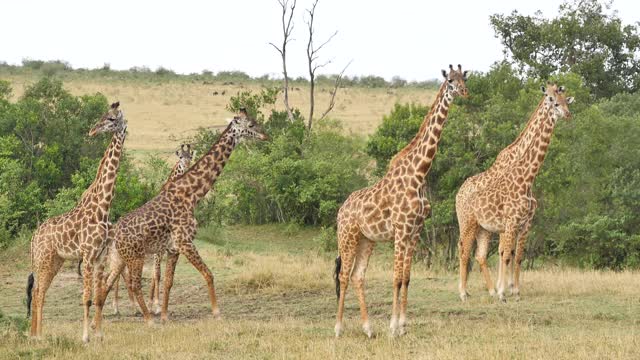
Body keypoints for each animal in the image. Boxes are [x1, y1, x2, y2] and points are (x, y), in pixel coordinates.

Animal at [26, 102, 127, 344]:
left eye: (111, 118)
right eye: (103, 115)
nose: (92, 130)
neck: (103, 207)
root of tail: (34, 236)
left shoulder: (100, 257)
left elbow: (98, 298)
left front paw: (100, 335)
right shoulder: (88, 255)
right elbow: (86, 298)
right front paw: (85, 338)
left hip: (56, 260)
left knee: (40, 292)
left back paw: (37, 335)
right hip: (43, 259)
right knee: (37, 293)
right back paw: (37, 336)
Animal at [110, 143, 195, 316]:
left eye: (190, 156)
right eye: (180, 157)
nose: (187, 166)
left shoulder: (164, 247)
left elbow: (157, 275)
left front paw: (152, 305)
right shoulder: (160, 248)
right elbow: (157, 274)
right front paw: (156, 306)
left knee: (122, 273)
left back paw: (125, 307)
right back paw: (117, 307)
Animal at [332, 64, 468, 338]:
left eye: (465, 78)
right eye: (450, 80)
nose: (464, 92)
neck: (419, 173)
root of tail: (341, 210)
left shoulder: (415, 232)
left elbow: (406, 278)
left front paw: (403, 325)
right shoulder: (401, 230)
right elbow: (395, 278)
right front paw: (393, 327)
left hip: (367, 240)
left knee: (357, 276)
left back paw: (368, 328)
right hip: (348, 237)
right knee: (343, 276)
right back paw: (339, 329)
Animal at [458, 83, 572, 300]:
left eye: (565, 101)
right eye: (553, 101)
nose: (568, 114)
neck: (526, 179)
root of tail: (459, 192)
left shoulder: (524, 223)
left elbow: (516, 256)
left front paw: (514, 291)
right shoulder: (510, 223)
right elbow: (506, 254)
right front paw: (504, 292)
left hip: (483, 229)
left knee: (480, 255)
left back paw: (488, 290)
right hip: (467, 223)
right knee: (464, 251)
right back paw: (464, 293)